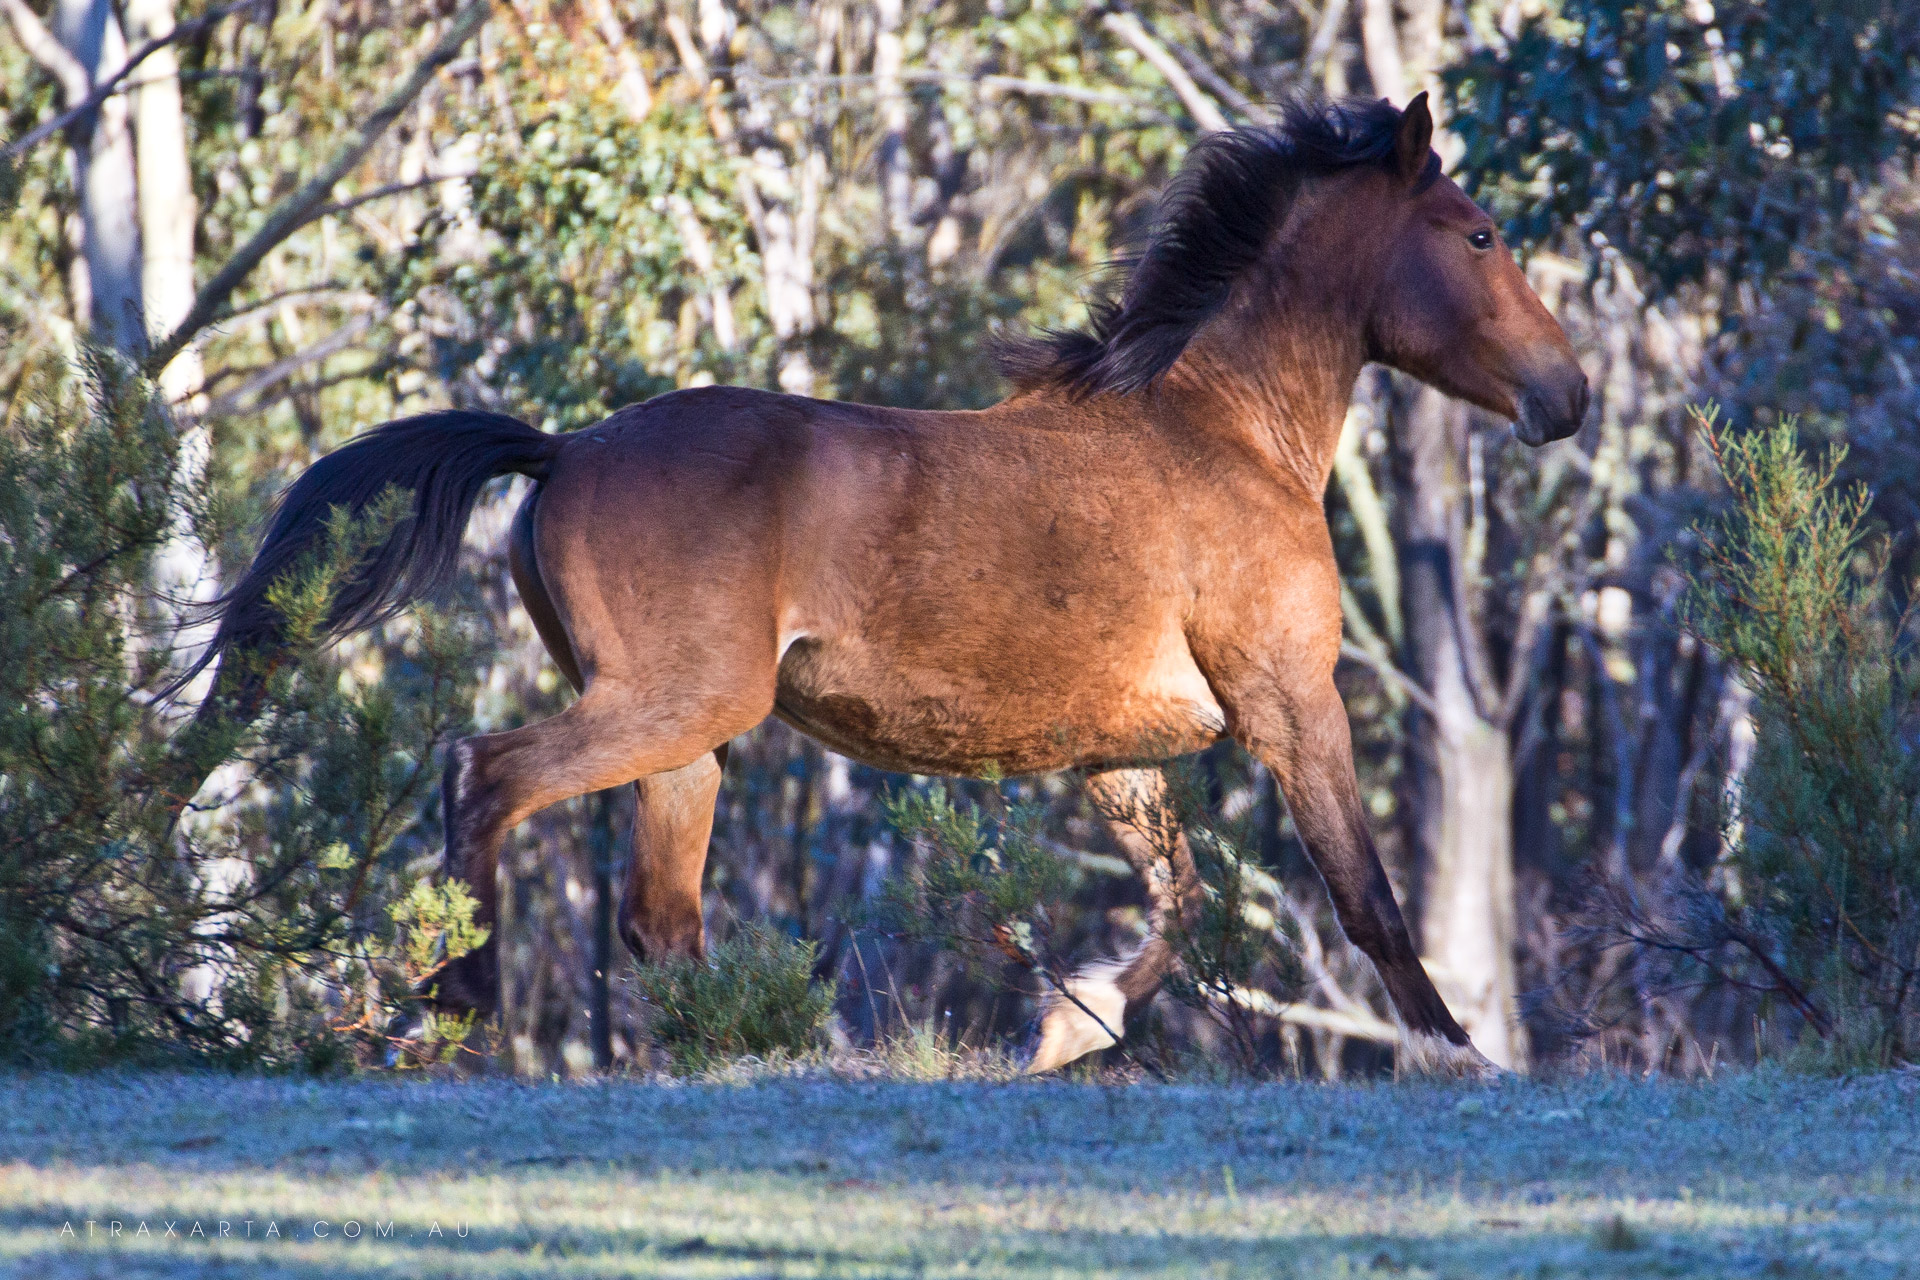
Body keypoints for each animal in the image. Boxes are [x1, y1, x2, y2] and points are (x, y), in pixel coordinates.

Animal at [187, 90, 1582, 1074]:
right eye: (1479, 233)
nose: (1568, 396)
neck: (1221, 434)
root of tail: (567, 447)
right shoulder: (1291, 701)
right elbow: (1367, 897)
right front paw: (1459, 1054)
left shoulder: (1119, 759)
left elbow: (1182, 901)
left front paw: (1068, 1026)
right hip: (677, 704)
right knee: (487, 775)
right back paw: (463, 1007)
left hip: (688, 740)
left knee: (659, 917)